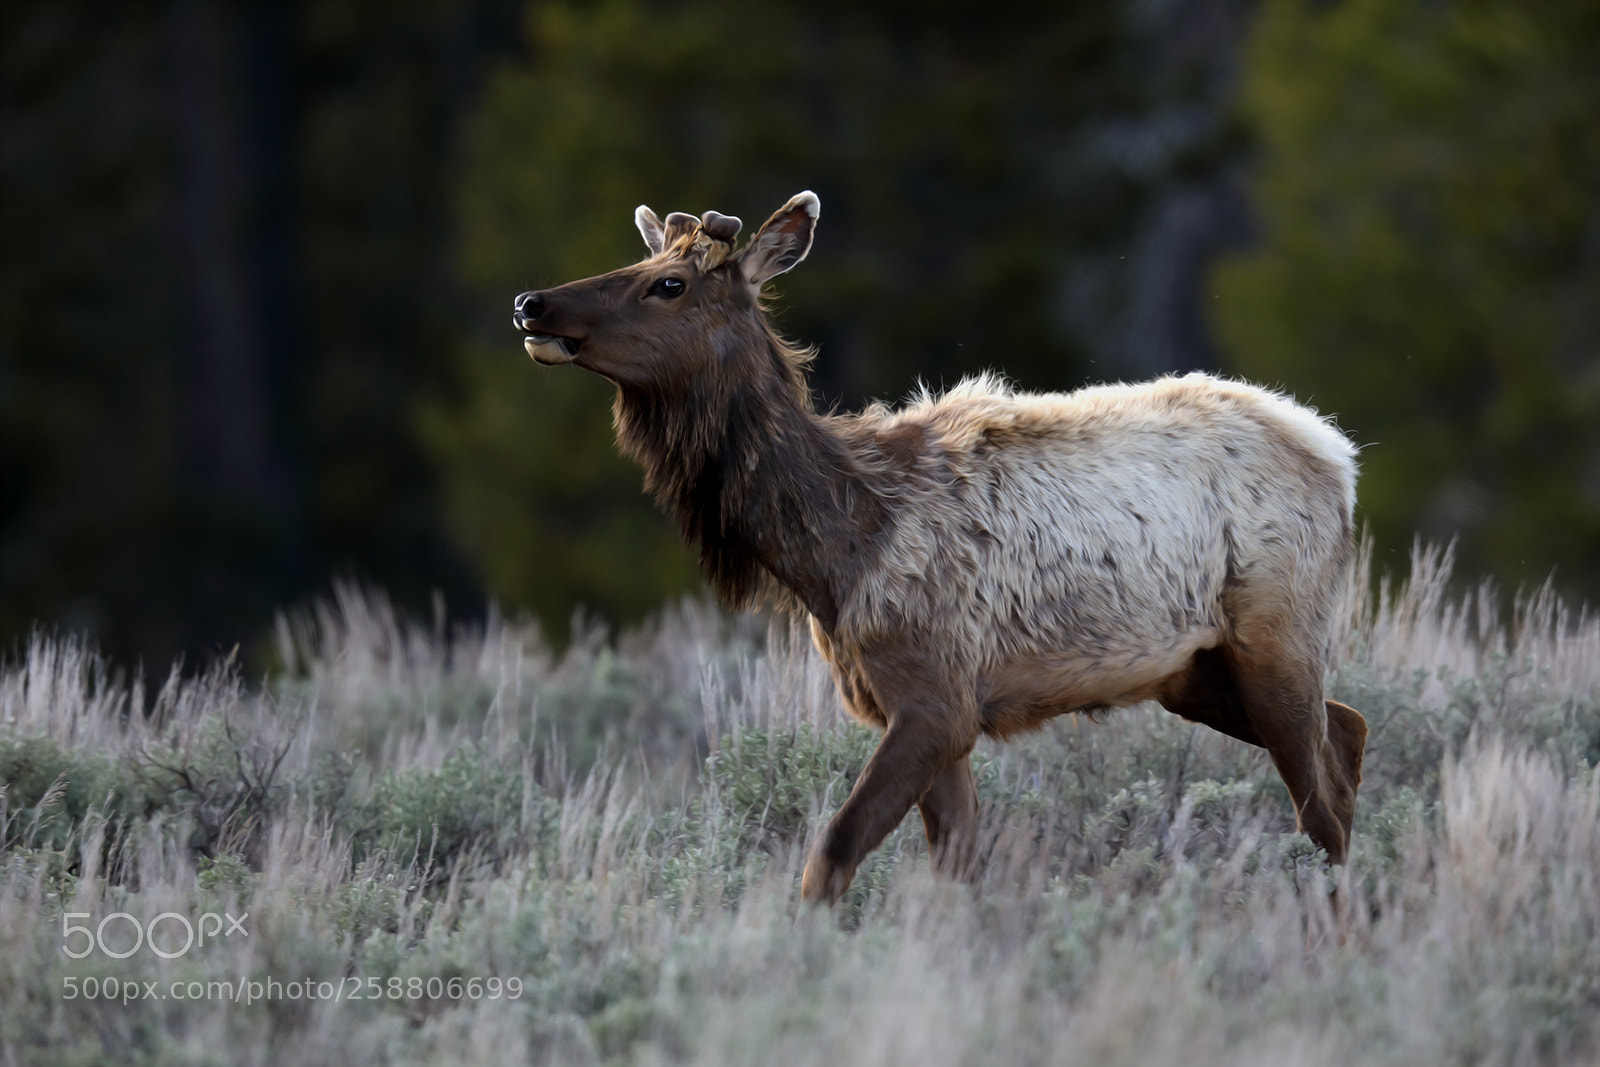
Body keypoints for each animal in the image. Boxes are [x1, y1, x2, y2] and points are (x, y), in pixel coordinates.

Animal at [512, 191, 1368, 905]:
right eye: (645, 264)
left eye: (669, 285)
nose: (530, 302)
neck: (831, 552)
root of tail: (1340, 457)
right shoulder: (930, 706)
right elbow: (955, 866)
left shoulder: (934, 696)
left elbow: (831, 852)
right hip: (1193, 670)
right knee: (1349, 733)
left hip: (1277, 635)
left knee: (1320, 807)